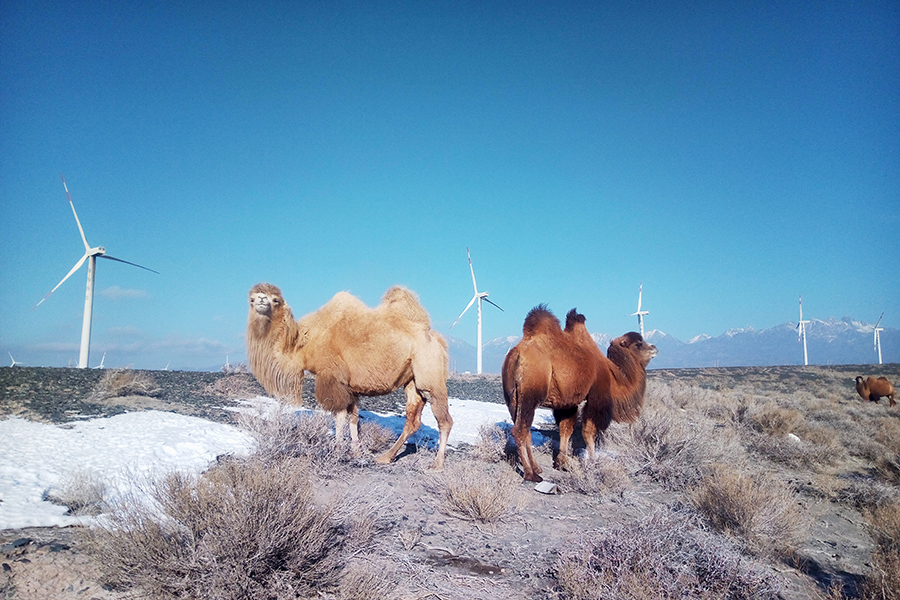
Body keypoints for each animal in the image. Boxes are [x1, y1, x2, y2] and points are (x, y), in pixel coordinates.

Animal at [246, 284, 454, 472]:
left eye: (276, 300)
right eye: (252, 299)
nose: (262, 300)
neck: (305, 342)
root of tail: (437, 340)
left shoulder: (331, 377)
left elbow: (339, 415)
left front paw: (337, 449)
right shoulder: (349, 386)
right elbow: (353, 417)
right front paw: (355, 451)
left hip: (430, 376)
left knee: (444, 420)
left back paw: (437, 464)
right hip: (412, 382)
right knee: (413, 420)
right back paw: (386, 457)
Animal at [502, 304, 656, 482]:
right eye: (638, 344)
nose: (654, 348)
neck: (614, 376)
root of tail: (516, 354)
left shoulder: (567, 402)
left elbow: (566, 428)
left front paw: (561, 461)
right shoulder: (596, 397)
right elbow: (588, 431)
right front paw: (593, 460)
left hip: (512, 398)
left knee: (525, 429)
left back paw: (536, 468)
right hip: (530, 393)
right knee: (520, 429)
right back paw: (530, 474)